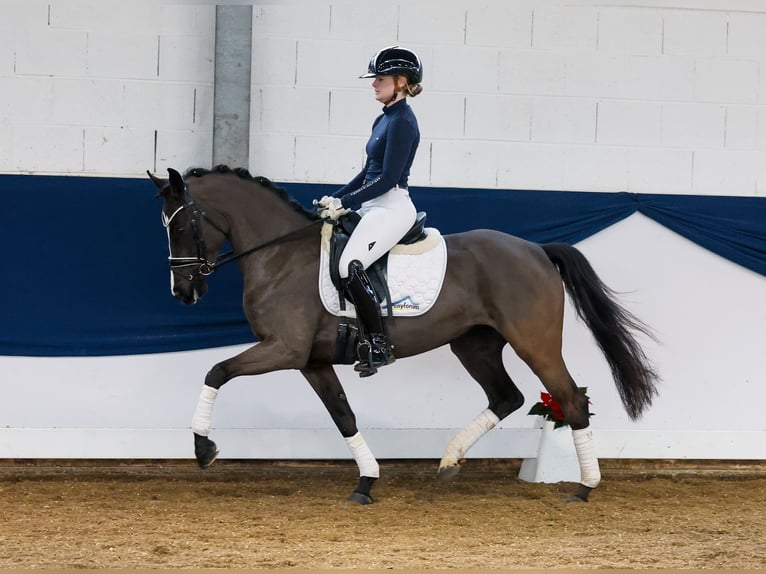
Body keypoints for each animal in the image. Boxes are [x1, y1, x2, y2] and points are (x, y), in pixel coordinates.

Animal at [148, 165, 660, 504]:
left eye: (184, 223)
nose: (183, 292)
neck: (281, 256)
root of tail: (535, 249)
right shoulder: (311, 360)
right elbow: (343, 416)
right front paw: (366, 481)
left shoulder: (283, 350)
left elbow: (216, 371)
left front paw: (203, 448)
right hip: (473, 343)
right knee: (507, 397)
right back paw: (450, 461)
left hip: (534, 343)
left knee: (570, 399)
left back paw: (584, 488)